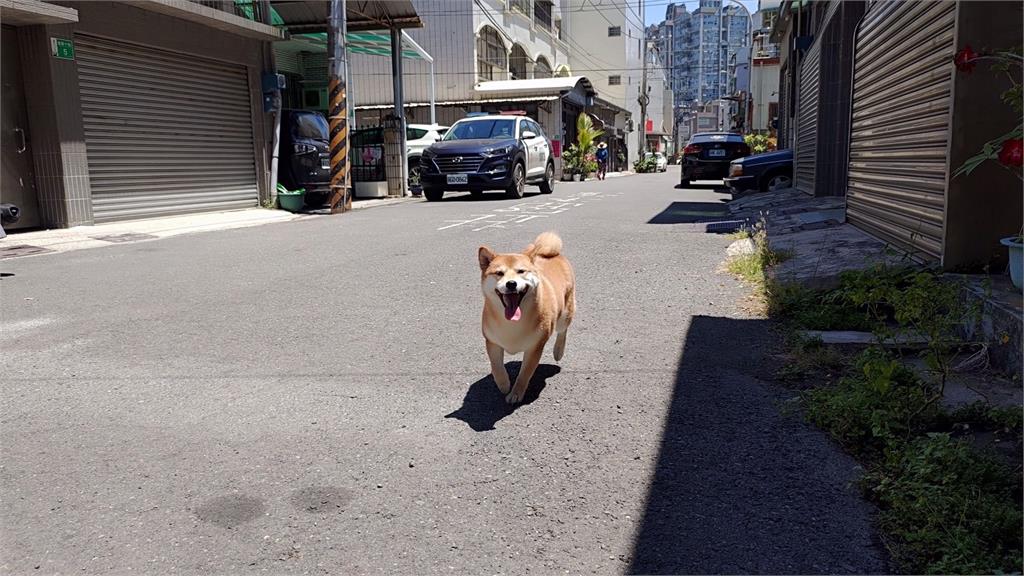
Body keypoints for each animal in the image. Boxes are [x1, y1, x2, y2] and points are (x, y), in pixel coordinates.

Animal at [479, 230, 577, 401]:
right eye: (499, 273)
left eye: (521, 271)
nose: (511, 283)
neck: (511, 324)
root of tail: (553, 254)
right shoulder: (492, 342)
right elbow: (496, 367)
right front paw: (504, 384)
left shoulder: (534, 347)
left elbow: (524, 374)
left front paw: (516, 393)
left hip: (564, 315)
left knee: (562, 331)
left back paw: (558, 350)